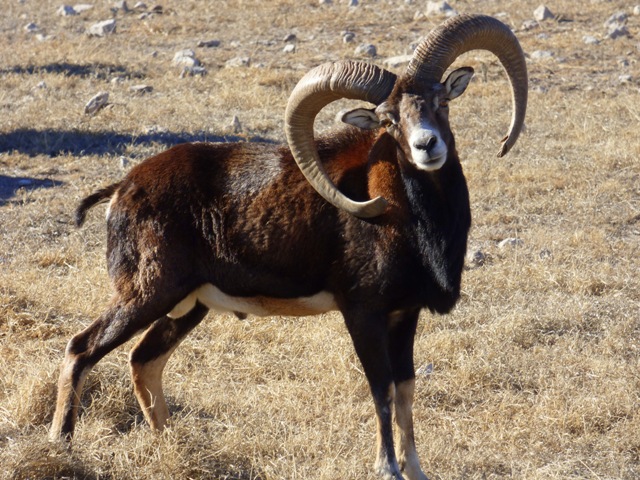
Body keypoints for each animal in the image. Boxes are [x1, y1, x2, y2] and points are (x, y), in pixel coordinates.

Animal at [49, 14, 527, 480]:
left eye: (440, 102)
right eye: (388, 119)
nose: (427, 146)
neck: (408, 217)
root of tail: (122, 189)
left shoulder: (404, 316)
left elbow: (406, 391)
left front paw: (415, 470)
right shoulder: (364, 316)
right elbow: (383, 391)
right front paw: (388, 469)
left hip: (187, 307)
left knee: (144, 362)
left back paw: (172, 446)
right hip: (146, 296)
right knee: (81, 349)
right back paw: (61, 444)